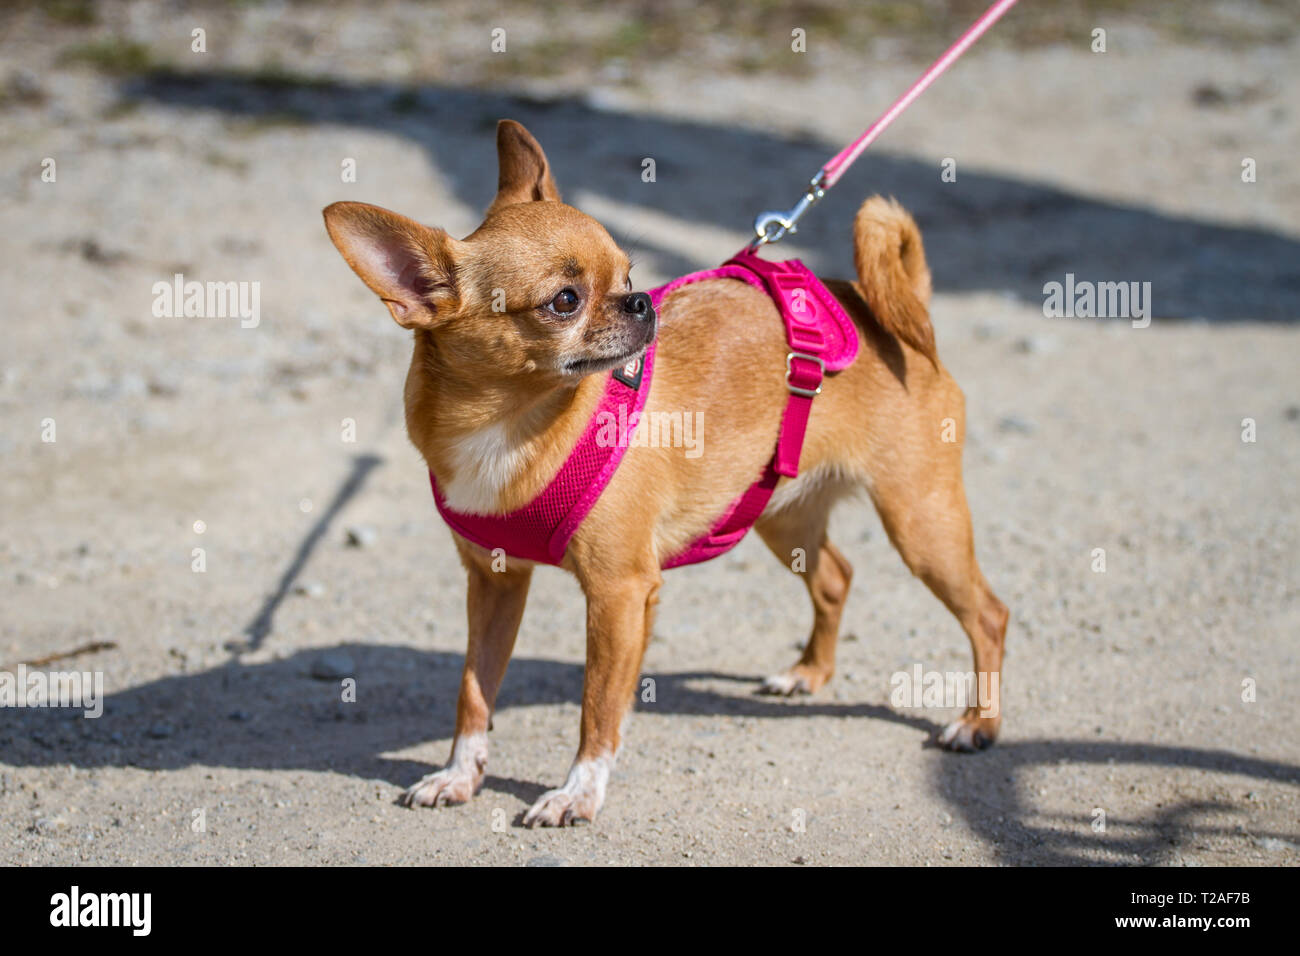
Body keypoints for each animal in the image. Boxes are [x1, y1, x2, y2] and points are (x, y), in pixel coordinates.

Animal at [319, 117, 1008, 822]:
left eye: (629, 274)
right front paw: (459, 775)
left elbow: (597, 707)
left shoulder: (619, 594)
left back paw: (977, 723)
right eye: (564, 301)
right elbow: (474, 692)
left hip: (921, 523)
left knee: (988, 614)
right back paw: (808, 673)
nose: (642, 302)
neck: (511, 424)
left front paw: (577, 792)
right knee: (836, 578)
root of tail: (881, 304)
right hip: (781, 517)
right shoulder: (494, 586)